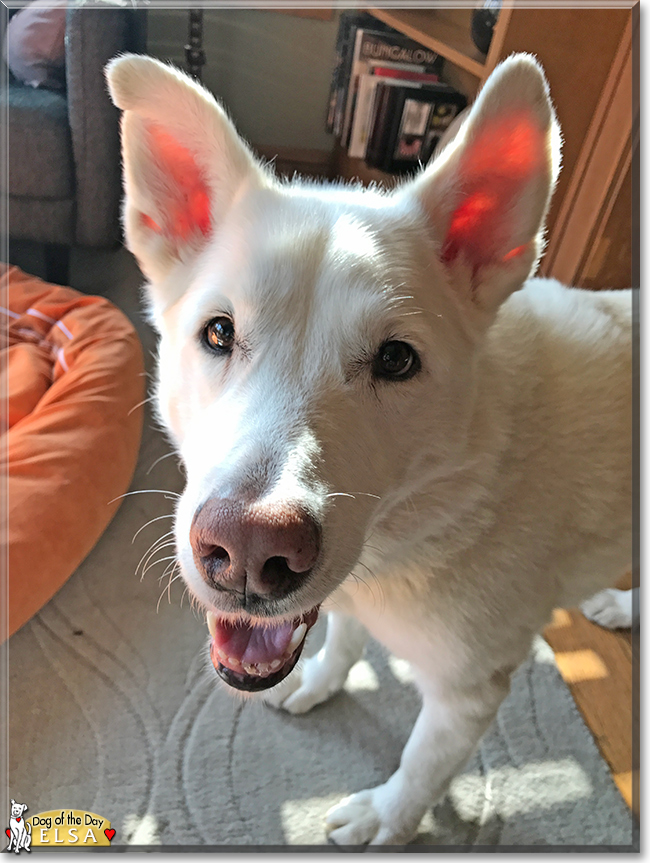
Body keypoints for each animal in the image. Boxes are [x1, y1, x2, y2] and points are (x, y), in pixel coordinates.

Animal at [105, 50, 628, 848]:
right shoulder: (345, 592)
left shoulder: (469, 690)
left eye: (396, 360)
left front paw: (389, 817)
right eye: (218, 333)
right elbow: (344, 637)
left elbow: (422, 763)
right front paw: (320, 680)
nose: (249, 551)